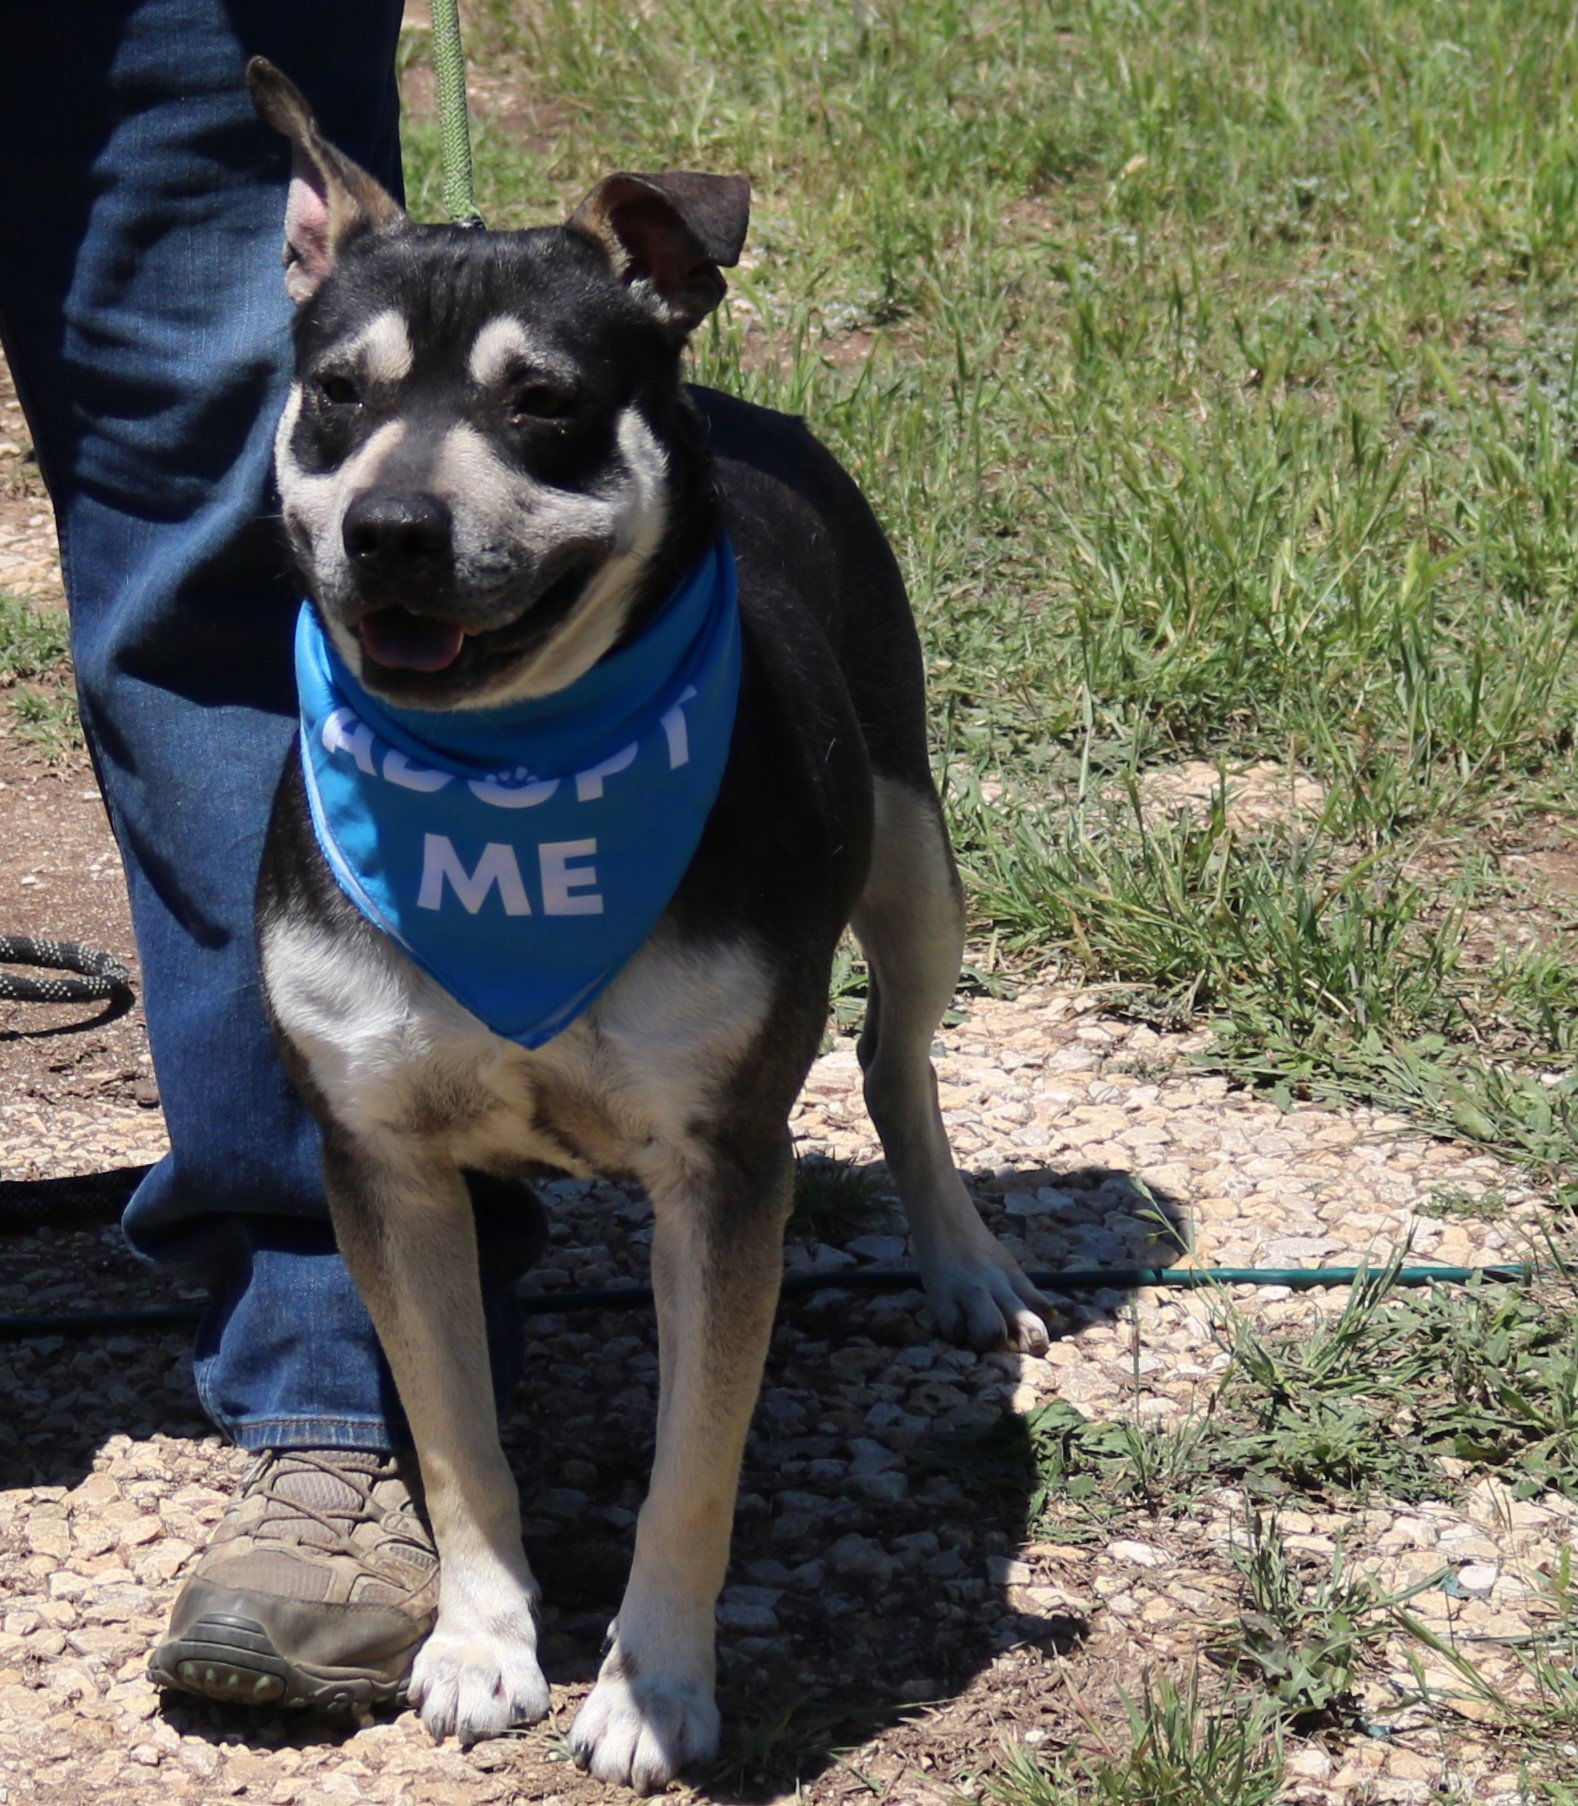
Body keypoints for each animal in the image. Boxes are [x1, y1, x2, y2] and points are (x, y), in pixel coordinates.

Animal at [245, 63, 1054, 1798]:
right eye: (336, 391)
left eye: (543, 399)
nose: (391, 530)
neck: (510, 774)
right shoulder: (380, 1154)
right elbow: (453, 1431)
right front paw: (481, 1640)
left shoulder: (721, 1159)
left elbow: (696, 1457)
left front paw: (653, 1688)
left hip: (913, 853)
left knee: (898, 1062)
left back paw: (961, 1258)